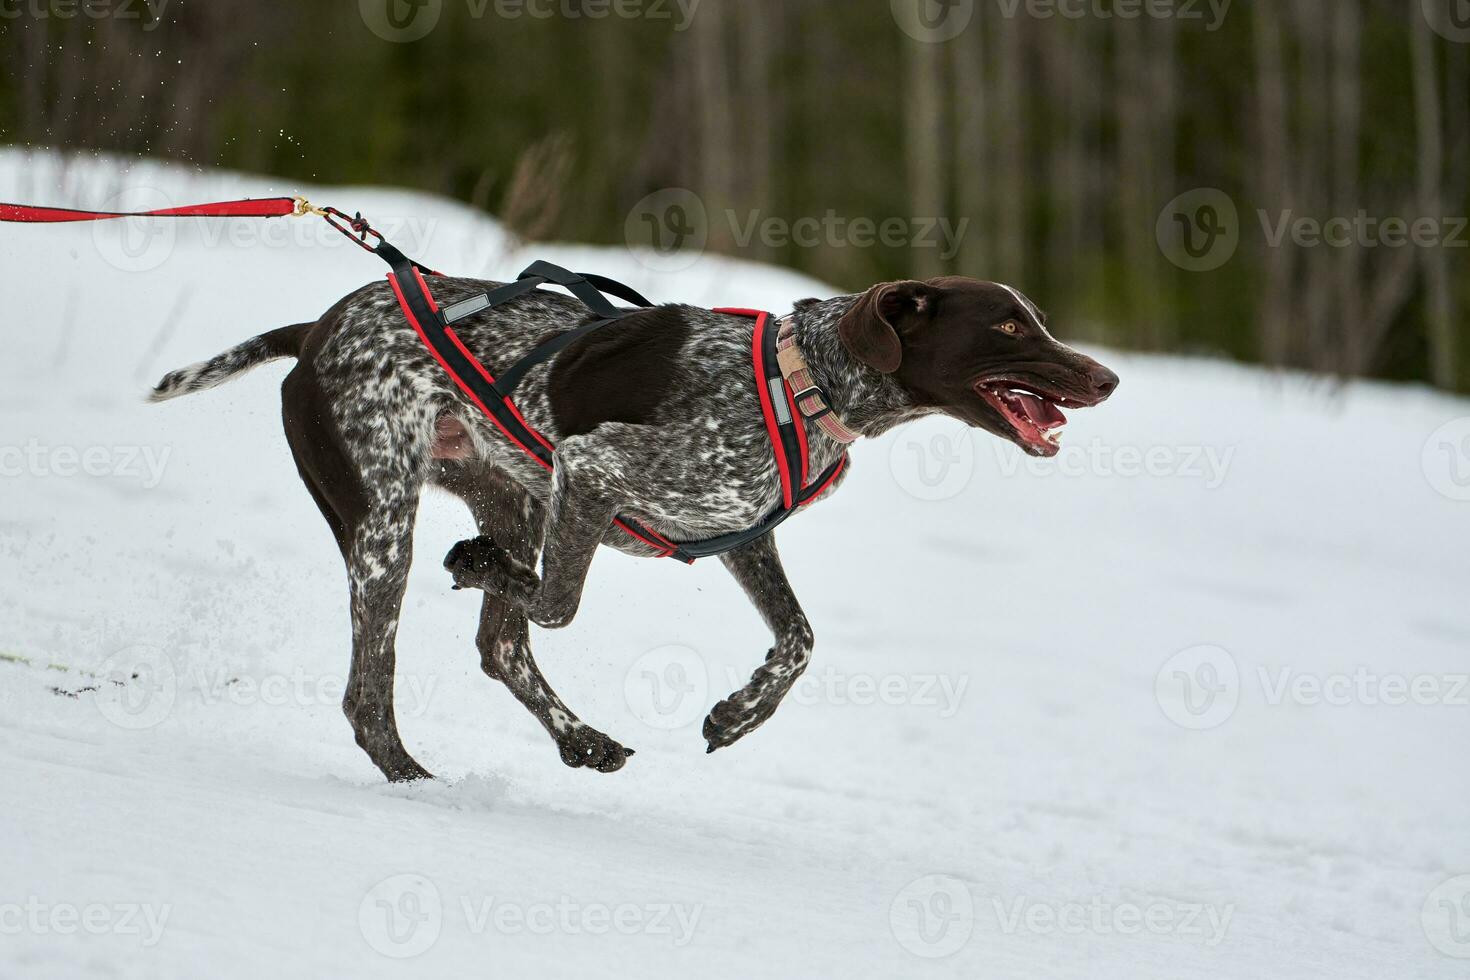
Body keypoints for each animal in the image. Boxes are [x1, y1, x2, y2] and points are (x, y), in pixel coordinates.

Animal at [146, 274, 1111, 781]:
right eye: (1010, 322)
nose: (1105, 377)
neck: (808, 380)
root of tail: (316, 329)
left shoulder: (737, 530)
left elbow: (799, 639)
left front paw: (739, 714)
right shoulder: (593, 471)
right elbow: (557, 603)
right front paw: (486, 569)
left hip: (511, 495)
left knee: (499, 648)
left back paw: (579, 736)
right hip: (386, 520)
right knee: (371, 690)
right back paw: (414, 776)